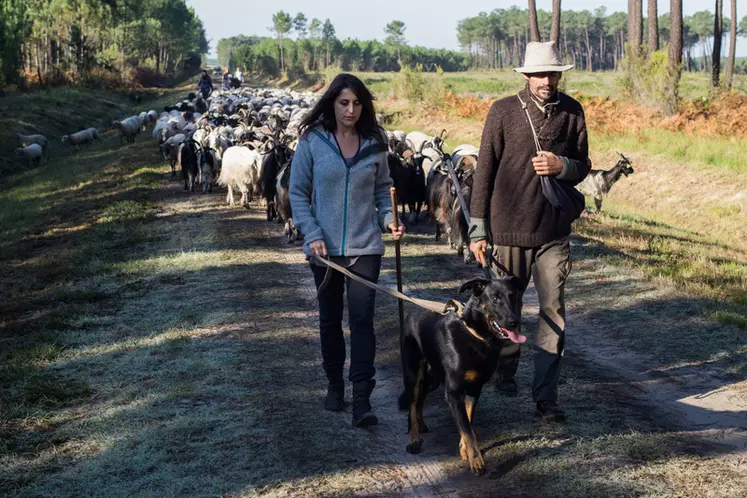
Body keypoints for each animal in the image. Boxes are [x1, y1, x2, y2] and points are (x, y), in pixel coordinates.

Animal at [398, 276, 524, 474]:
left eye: (512, 296)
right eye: (495, 298)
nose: (514, 322)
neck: (476, 337)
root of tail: (413, 312)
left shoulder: (474, 389)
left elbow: (468, 421)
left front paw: (465, 449)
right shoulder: (454, 392)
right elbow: (466, 426)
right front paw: (476, 460)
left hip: (433, 377)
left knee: (421, 398)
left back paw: (422, 423)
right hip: (413, 374)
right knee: (412, 402)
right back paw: (413, 439)